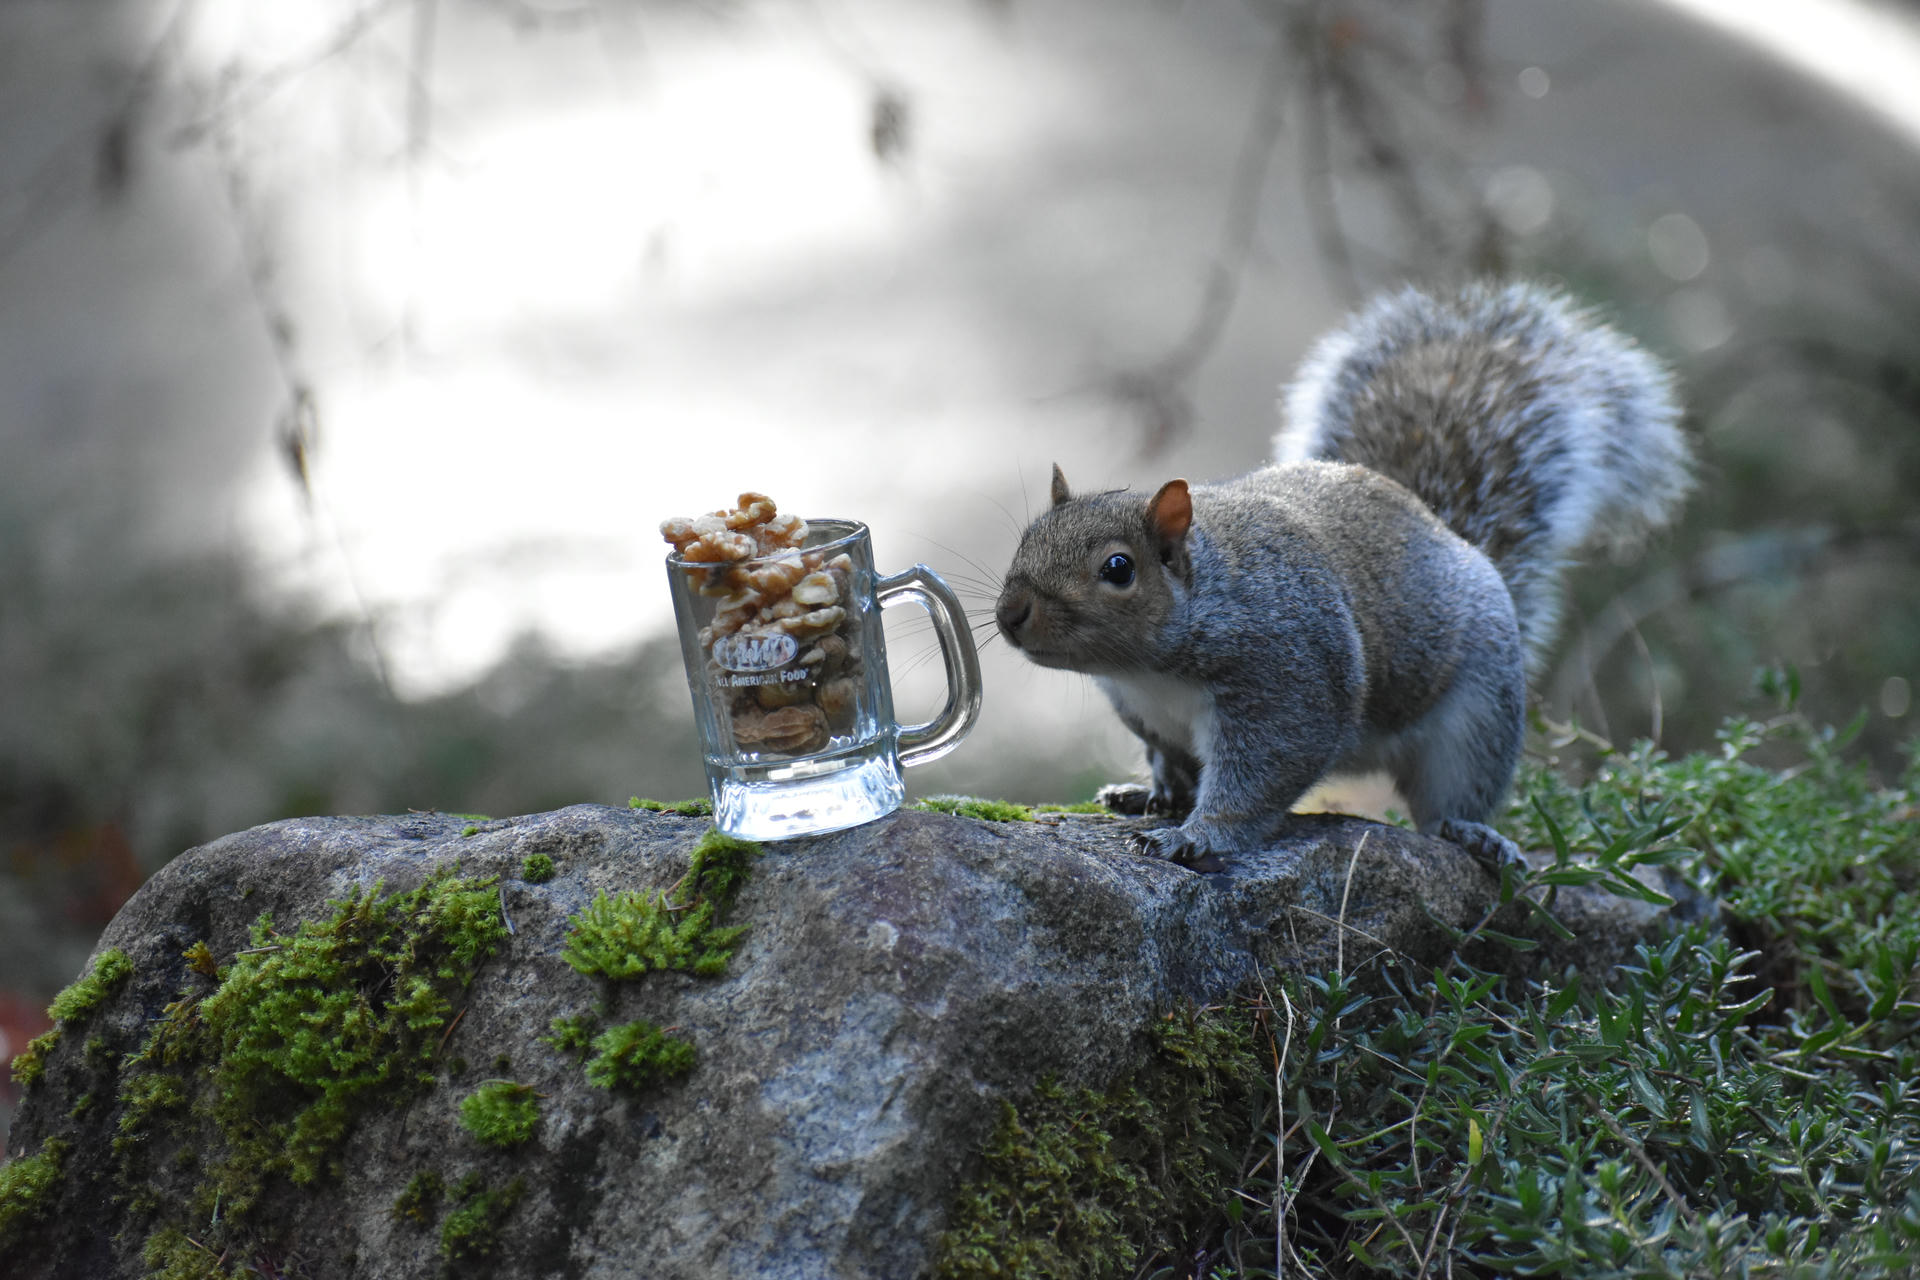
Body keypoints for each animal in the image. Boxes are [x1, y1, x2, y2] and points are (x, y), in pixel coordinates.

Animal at [994, 281, 1691, 872]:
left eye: (1118, 568)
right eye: (1025, 538)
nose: (1009, 615)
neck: (1149, 668)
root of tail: (1453, 536)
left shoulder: (1287, 679)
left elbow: (1261, 776)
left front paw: (1196, 837)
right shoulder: (1150, 718)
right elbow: (1174, 763)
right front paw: (1157, 797)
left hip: (1480, 713)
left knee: (1451, 797)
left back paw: (1472, 833)